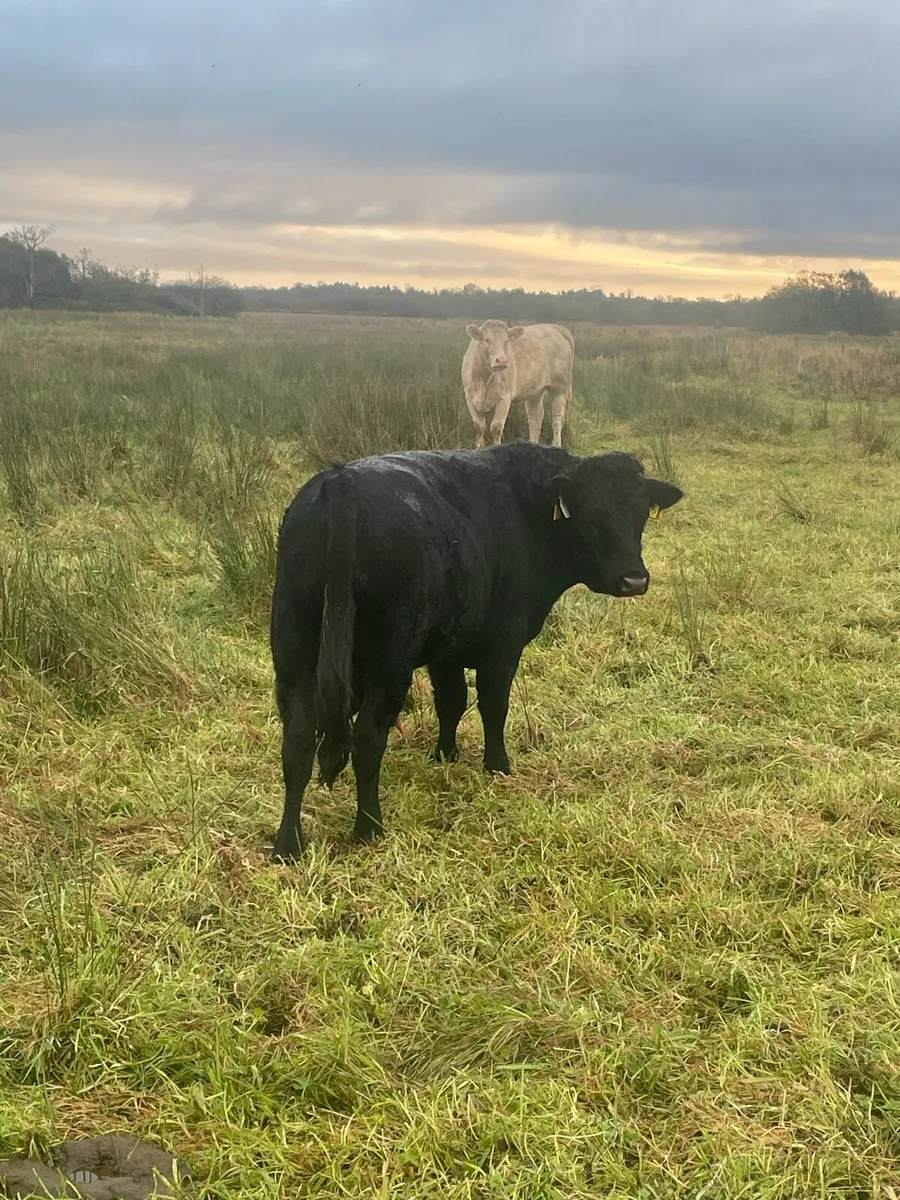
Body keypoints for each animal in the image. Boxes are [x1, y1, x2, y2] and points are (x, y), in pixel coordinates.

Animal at [270, 441, 683, 861]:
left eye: (640, 514)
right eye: (592, 515)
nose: (634, 579)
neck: (526, 511)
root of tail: (342, 482)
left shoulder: (446, 650)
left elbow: (451, 702)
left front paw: (444, 754)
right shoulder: (503, 645)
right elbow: (493, 705)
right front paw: (497, 764)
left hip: (293, 655)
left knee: (298, 743)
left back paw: (289, 843)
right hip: (389, 662)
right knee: (368, 737)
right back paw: (369, 827)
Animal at [462, 320, 575, 449]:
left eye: (506, 341)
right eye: (486, 339)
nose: (502, 360)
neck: (484, 381)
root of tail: (555, 327)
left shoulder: (504, 398)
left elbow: (496, 427)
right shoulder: (470, 398)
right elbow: (479, 427)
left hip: (560, 387)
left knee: (557, 419)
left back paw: (556, 445)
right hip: (534, 391)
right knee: (535, 418)